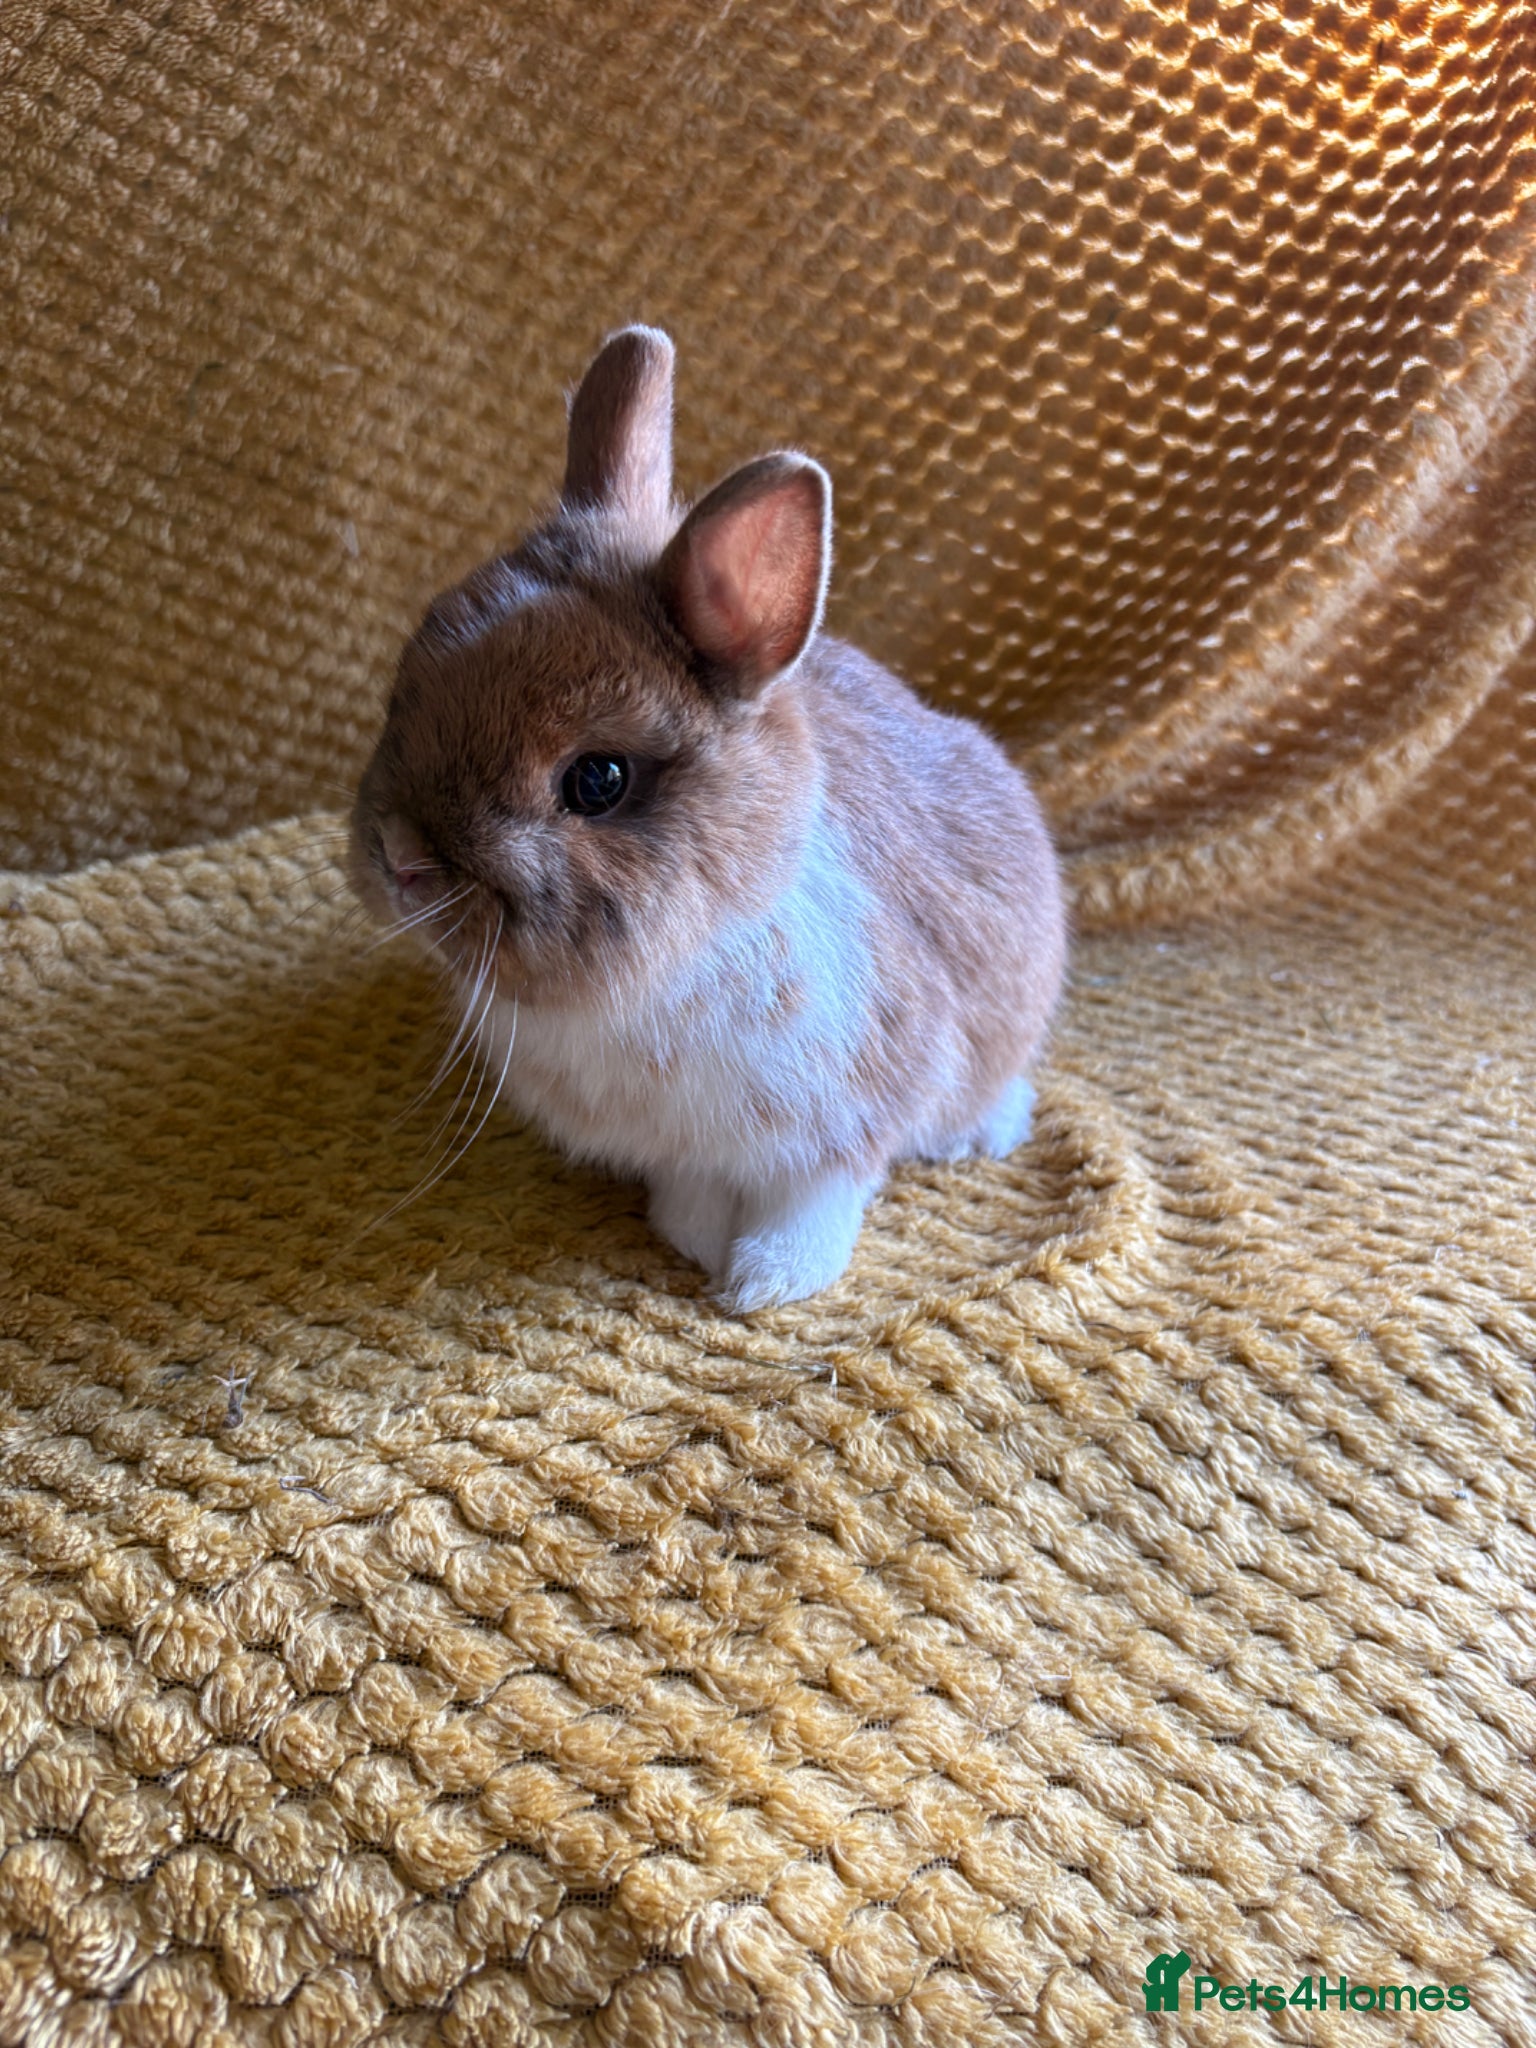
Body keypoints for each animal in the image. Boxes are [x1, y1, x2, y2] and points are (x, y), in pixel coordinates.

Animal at [349, 325, 1067, 1311]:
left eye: (598, 780)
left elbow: (816, 1203)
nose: (400, 859)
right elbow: (692, 1187)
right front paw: (690, 1240)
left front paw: (764, 1284)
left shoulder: (849, 1114)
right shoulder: (686, 1144)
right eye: (405, 688)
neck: (672, 963)